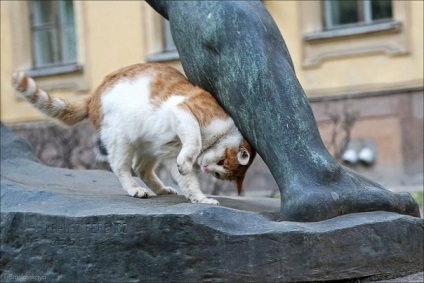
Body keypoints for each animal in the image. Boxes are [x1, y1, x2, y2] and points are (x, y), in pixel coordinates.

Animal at [12, 63, 255, 206]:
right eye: (221, 162)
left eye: (218, 174)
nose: (205, 168)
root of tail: (94, 96)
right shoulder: (183, 111)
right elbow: (193, 141)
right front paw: (188, 163)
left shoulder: (172, 154)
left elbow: (189, 182)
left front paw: (200, 198)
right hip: (121, 140)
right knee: (121, 168)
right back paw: (136, 190)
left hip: (150, 147)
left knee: (141, 169)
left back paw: (162, 189)